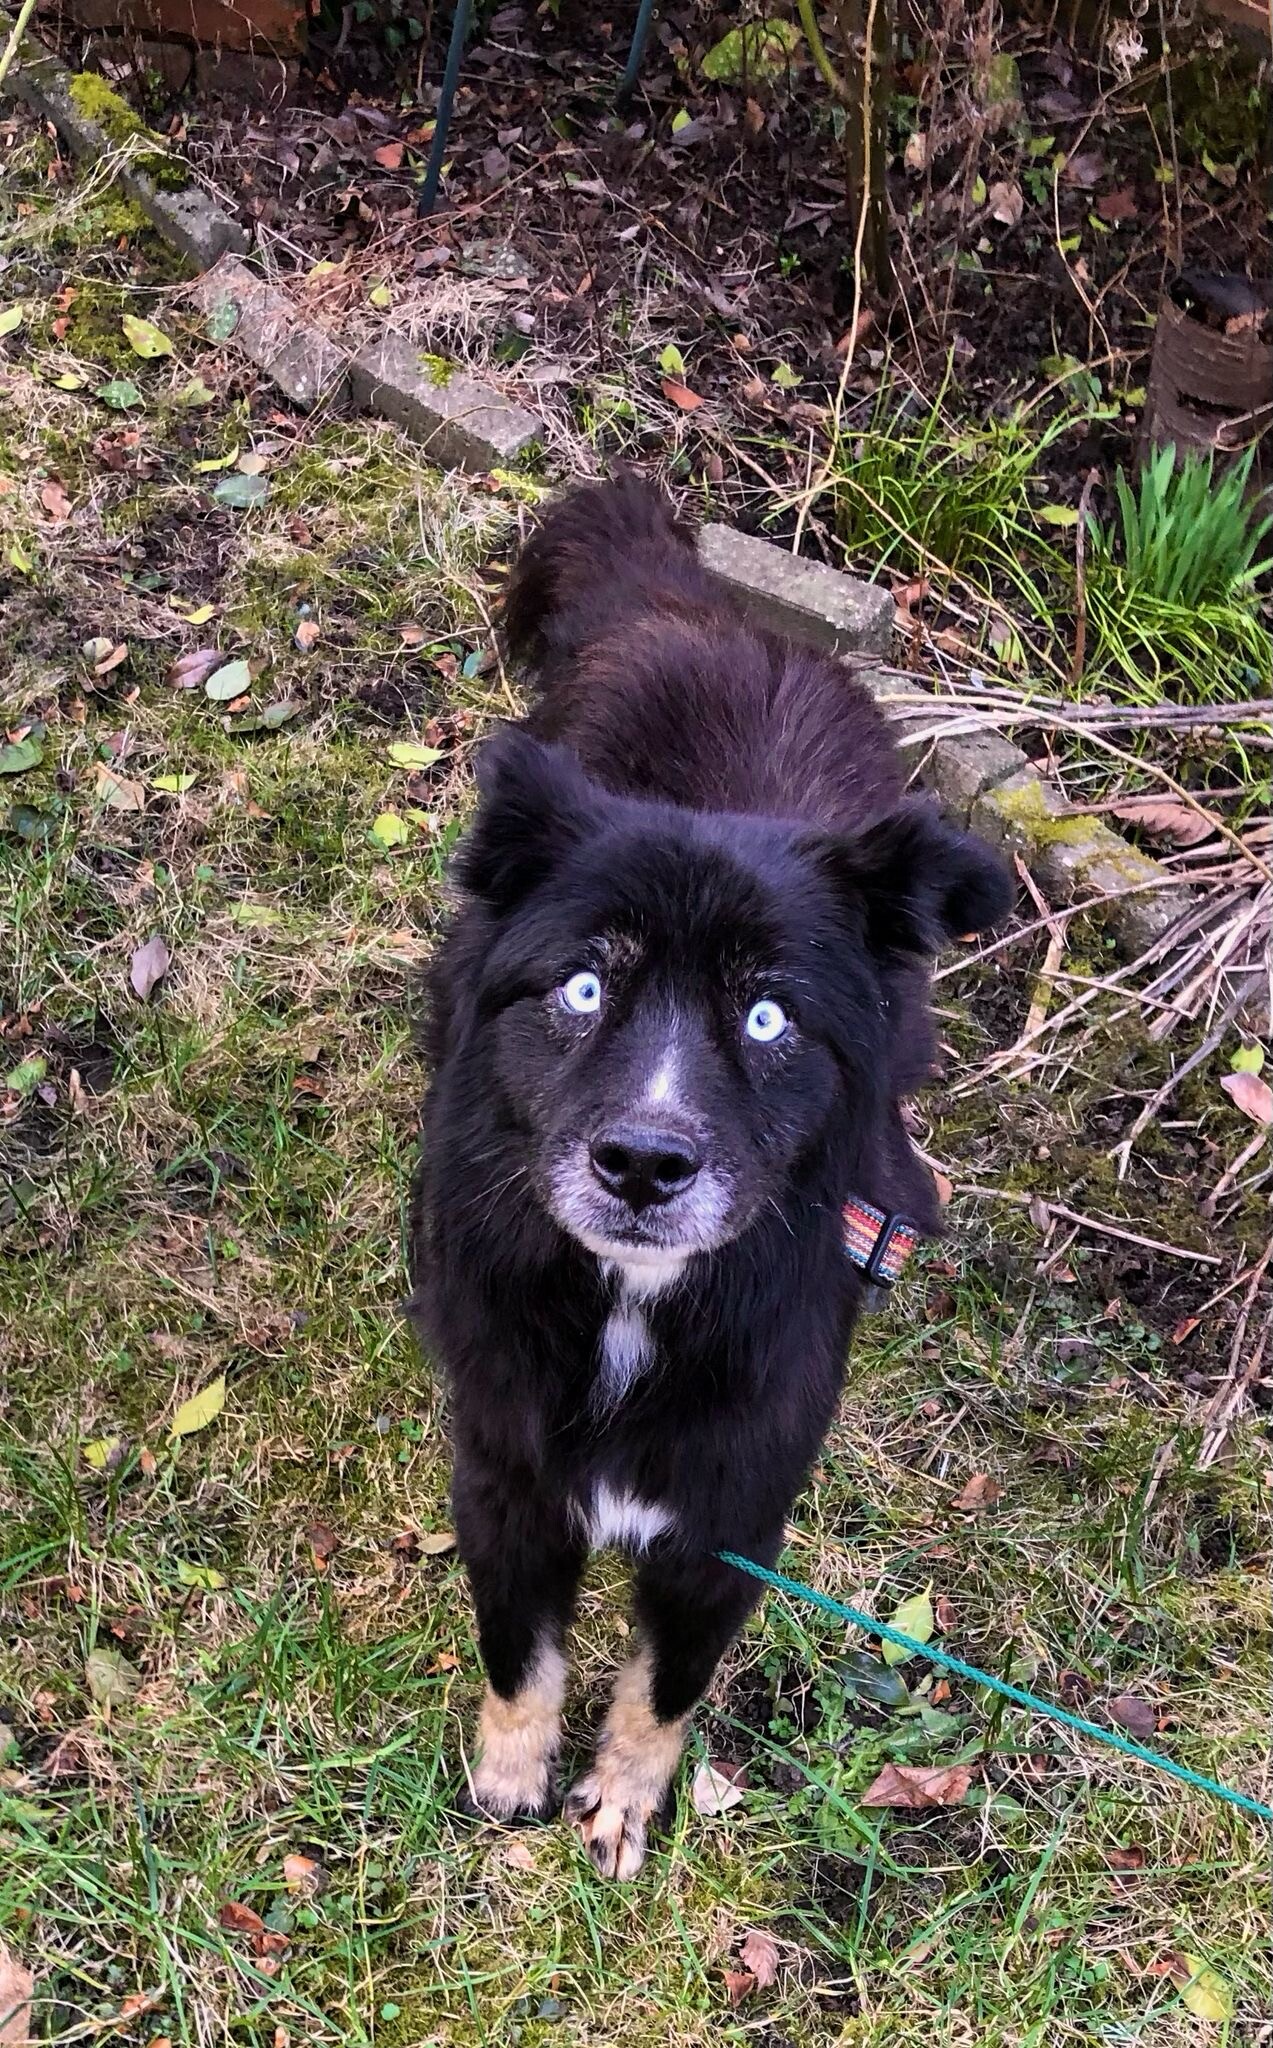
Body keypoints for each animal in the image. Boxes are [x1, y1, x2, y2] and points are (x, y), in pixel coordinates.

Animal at [408, 474, 1012, 1879]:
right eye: (584, 986)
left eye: (768, 1017)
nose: (643, 1161)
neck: (635, 1299)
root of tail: (691, 604)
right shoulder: (507, 1469)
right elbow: (518, 1647)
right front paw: (510, 1778)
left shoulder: (733, 1511)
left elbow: (664, 1683)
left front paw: (622, 1798)